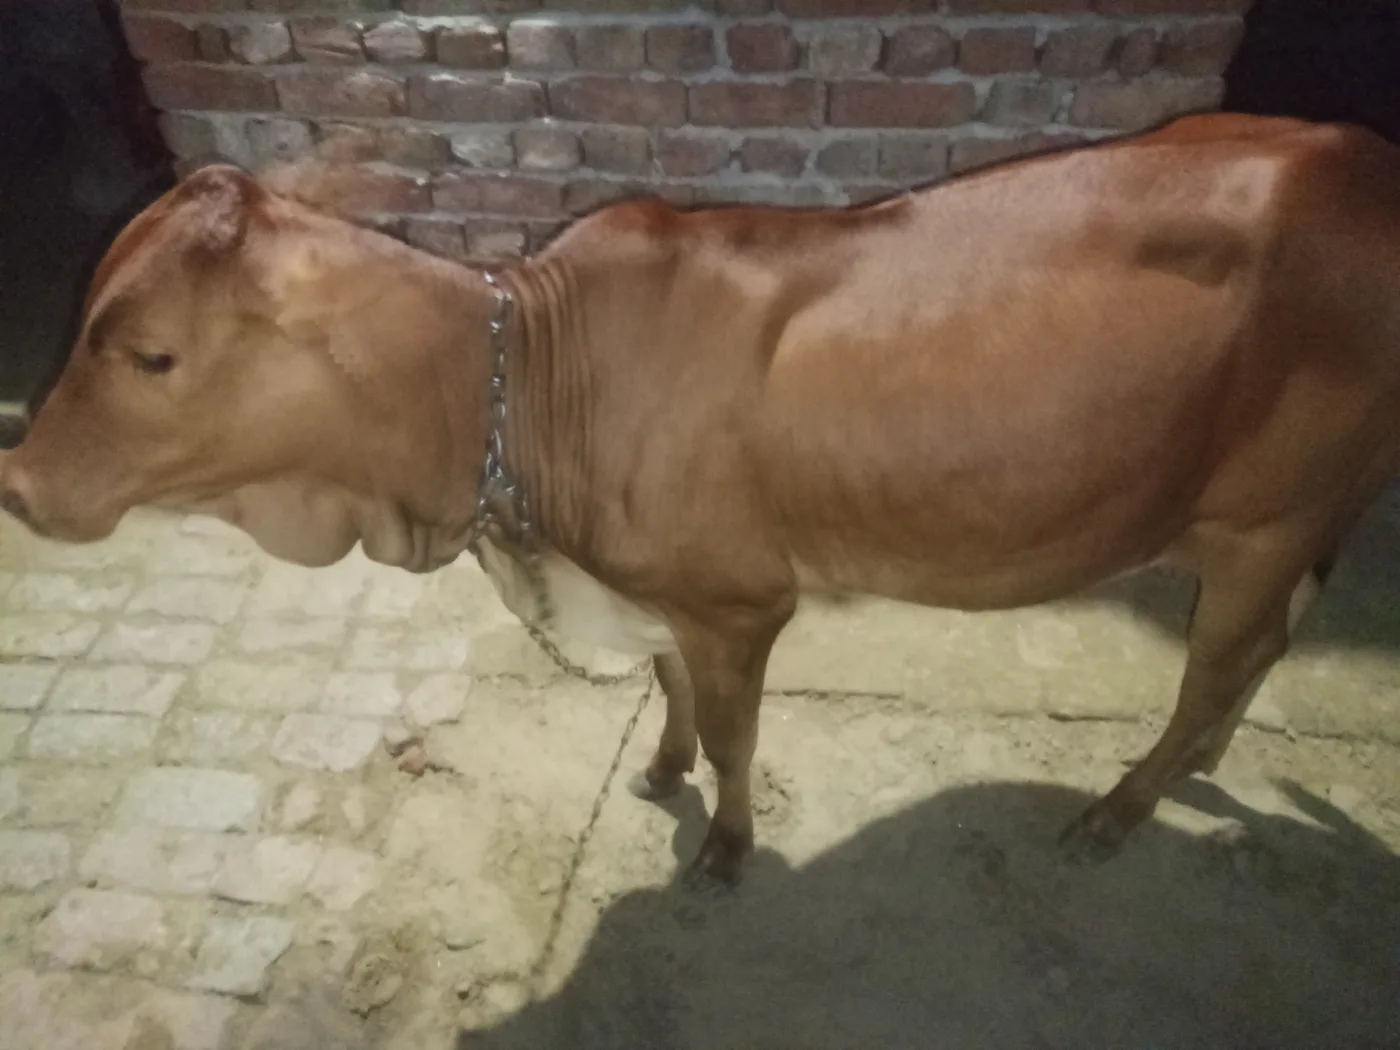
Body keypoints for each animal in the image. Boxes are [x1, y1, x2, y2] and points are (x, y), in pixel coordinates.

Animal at [3, 113, 1400, 885]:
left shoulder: (740, 602)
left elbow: (734, 733)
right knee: (1254, 654)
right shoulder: (662, 592)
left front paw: (723, 845)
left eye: (152, 355)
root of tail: (1354, 155)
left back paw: (1123, 805)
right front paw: (660, 772)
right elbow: (673, 694)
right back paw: (1194, 770)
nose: (14, 480)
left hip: (1265, 521)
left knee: (1216, 665)